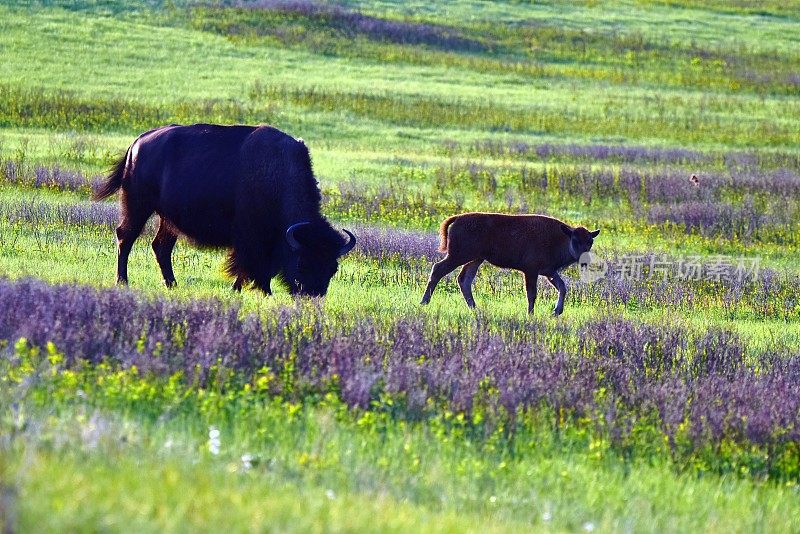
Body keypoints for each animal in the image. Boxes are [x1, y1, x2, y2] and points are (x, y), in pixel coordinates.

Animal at [94, 124, 356, 298]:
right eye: (302, 262)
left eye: (332, 268)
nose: (312, 296)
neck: (277, 176)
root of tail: (136, 144)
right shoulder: (249, 238)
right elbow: (249, 265)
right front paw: (253, 290)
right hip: (138, 206)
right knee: (125, 237)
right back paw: (123, 282)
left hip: (167, 220)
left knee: (161, 246)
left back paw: (172, 284)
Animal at [418, 213, 600, 316]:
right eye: (575, 240)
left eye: (590, 242)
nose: (585, 261)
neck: (560, 238)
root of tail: (458, 219)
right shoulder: (531, 271)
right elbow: (532, 294)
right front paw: (530, 314)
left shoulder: (549, 272)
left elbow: (562, 287)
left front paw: (556, 312)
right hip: (458, 256)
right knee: (438, 269)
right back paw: (424, 302)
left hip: (475, 259)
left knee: (464, 280)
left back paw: (474, 308)